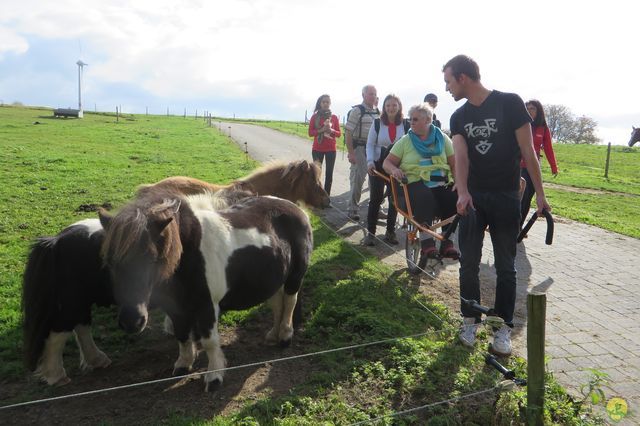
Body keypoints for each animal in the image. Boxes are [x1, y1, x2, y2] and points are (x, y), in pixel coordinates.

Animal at [98, 191, 316, 392]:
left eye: (153, 258)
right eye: (110, 260)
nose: (131, 321)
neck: (188, 254)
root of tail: (296, 208)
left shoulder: (207, 307)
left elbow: (210, 342)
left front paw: (214, 376)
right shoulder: (176, 309)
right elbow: (182, 335)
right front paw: (184, 364)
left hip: (294, 277)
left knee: (289, 302)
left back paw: (285, 336)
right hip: (274, 279)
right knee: (277, 304)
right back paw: (273, 334)